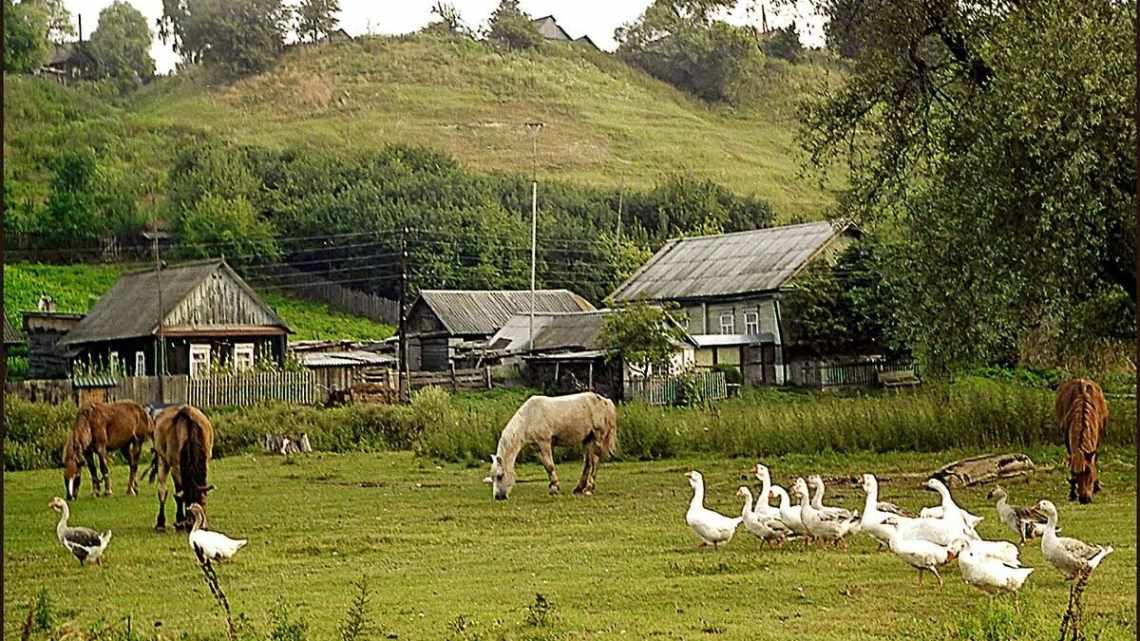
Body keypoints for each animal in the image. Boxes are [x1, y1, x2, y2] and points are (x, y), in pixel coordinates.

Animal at [487, 390, 620, 499]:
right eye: (492, 477)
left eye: (500, 476)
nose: (498, 497)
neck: (529, 416)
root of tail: (606, 401)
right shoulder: (537, 447)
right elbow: (547, 466)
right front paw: (553, 487)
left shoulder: (544, 443)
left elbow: (550, 466)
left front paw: (554, 489)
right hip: (587, 440)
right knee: (588, 464)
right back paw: (578, 489)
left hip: (597, 438)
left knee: (595, 462)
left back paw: (588, 489)